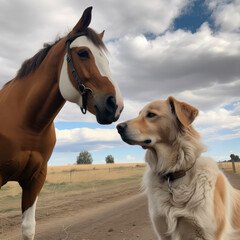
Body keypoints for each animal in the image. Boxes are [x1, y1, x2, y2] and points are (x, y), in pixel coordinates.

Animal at [0, 6, 123, 239]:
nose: (116, 105)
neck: (27, 124)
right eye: (83, 53)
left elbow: (28, 228)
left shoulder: (35, 179)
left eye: (107, 60)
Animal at [117, 96, 240, 239]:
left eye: (151, 114)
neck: (174, 173)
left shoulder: (209, 234)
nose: (118, 127)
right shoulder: (163, 232)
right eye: (139, 114)